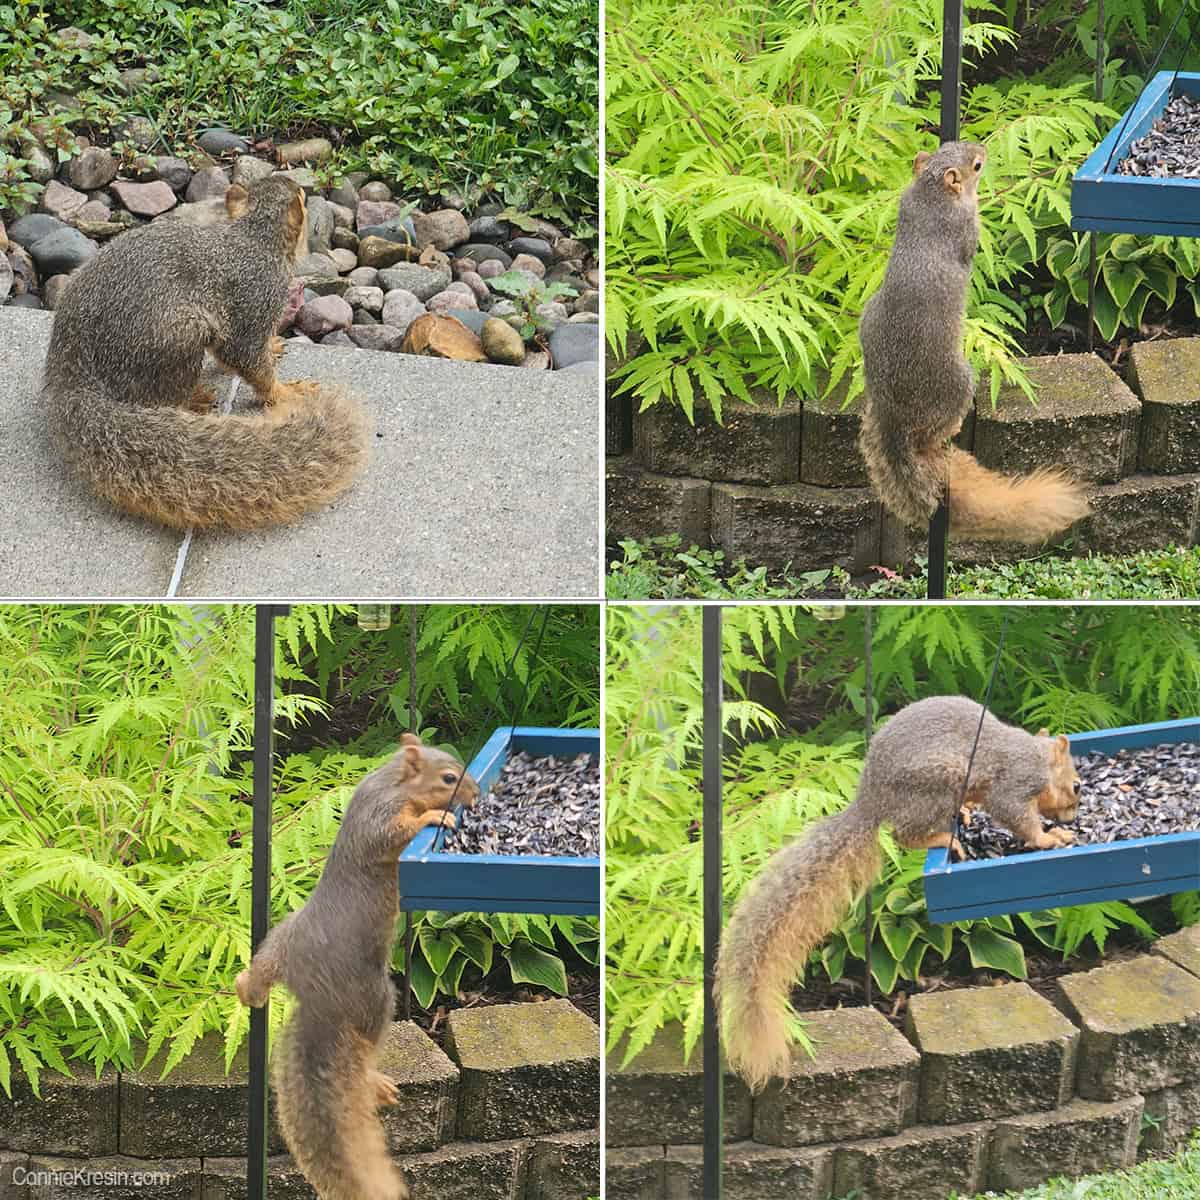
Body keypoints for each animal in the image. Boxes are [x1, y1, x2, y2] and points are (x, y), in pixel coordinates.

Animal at [42, 175, 369, 530]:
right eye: (302, 197)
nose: (305, 190)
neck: (256, 238)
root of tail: (72, 378)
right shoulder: (258, 299)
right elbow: (245, 357)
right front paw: (284, 392)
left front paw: (273, 345)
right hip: (176, 342)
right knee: (164, 396)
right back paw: (195, 398)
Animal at [236, 733, 480, 1200]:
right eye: (448, 778)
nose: (475, 796)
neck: (393, 781)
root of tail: (314, 994)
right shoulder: (378, 819)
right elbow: (394, 835)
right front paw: (435, 816)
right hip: (374, 996)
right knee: (366, 1045)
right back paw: (372, 1081)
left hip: (281, 941)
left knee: (263, 969)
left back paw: (246, 987)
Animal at [714, 695, 1081, 1093]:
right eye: (1077, 786)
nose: (1072, 816)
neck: (1036, 754)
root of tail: (872, 802)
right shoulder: (1015, 780)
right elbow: (1014, 814)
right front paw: (1048, 838)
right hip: (939, 782)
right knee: (905, 834)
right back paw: (943, 836)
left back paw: (963, 812)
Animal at [857, 142, 1091, 543]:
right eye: (977, 165)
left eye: (948, 147)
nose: (981, 147)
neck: (930, 195)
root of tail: (893, 416)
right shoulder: (965, 227)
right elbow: (971, 242)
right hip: (956, 382)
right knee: (936, 429)